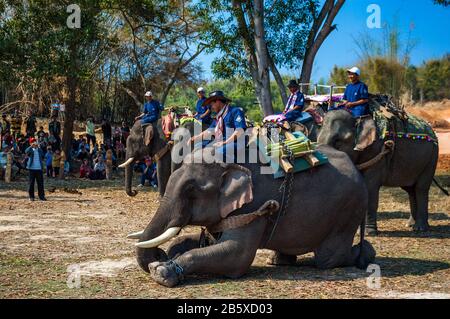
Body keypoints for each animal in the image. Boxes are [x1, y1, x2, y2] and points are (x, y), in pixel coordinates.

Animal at [127, 146, 376, 288]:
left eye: (191, 190)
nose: (158, 254)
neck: (228, 161)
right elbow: (203, 242)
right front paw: (170, 253)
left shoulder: (255, 204)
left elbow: (237, 255)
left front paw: (161, 271)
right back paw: (278, 260)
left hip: (347, 211)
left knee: (329, 258)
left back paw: (365, 254)